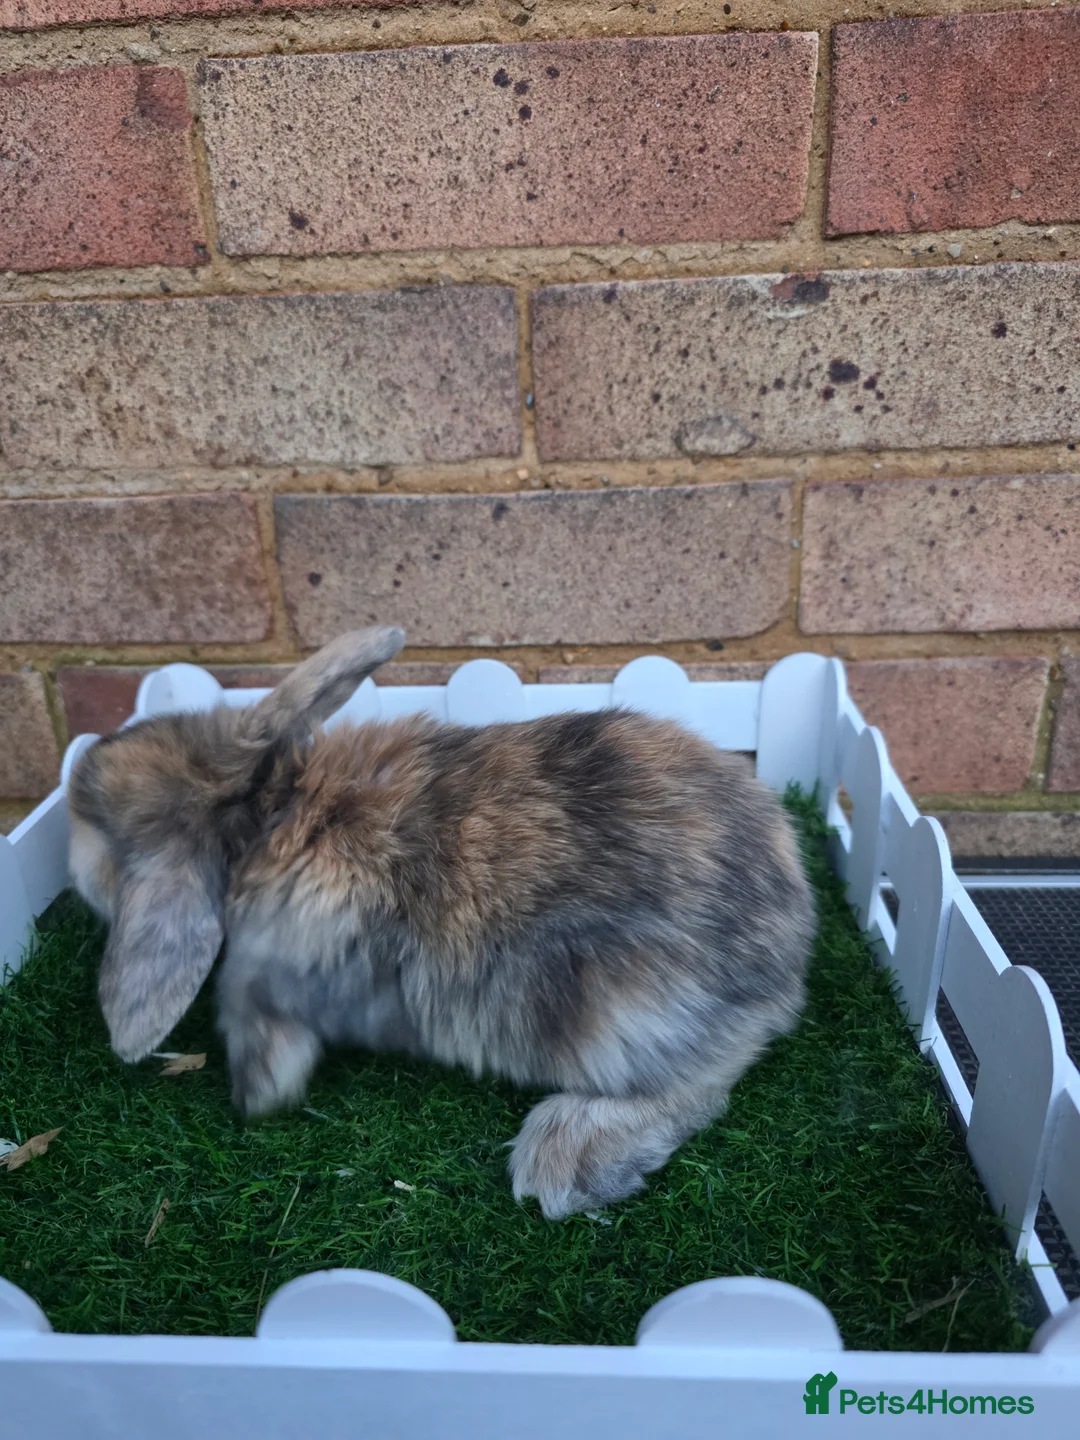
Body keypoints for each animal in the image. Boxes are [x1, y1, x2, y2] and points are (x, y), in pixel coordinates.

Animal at [67, 627, 815, 1220]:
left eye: (97, 827)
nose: (75, 780)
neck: (267, 806)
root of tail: (791, 936)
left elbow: (252, 1013)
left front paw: (256, 1092)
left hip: (624, 1017)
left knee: (704, 1083)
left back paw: (562, 1161)